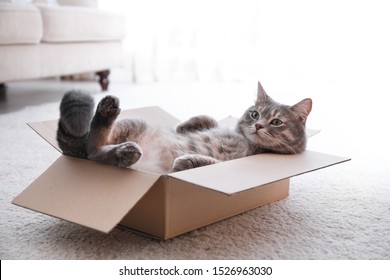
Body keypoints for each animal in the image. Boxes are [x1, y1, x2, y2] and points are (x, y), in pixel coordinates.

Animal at [56, 82, 312, 173]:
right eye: (254, 114)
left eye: (276, 122)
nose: (258, 125)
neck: (247, 141)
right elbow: (209, 119)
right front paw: (183, 126)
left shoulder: (233, 161)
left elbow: (210, 161)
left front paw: (186, 161)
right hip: (132, 123)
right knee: (92, 145)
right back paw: (107, 112)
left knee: (95, 152)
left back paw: (125, 152)